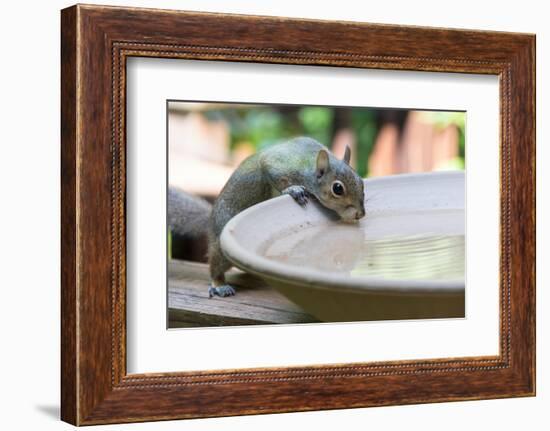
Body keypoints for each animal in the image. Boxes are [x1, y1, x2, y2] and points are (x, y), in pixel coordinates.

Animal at [168, 137, 366, 298]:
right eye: (337, 189)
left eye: (361, 181)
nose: (360, 214)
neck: (309, 166)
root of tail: (210, 222)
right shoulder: (279, 164)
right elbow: (271, 170)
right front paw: (293, 190)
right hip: (221, 246)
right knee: (215, 265)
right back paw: (220, 284)